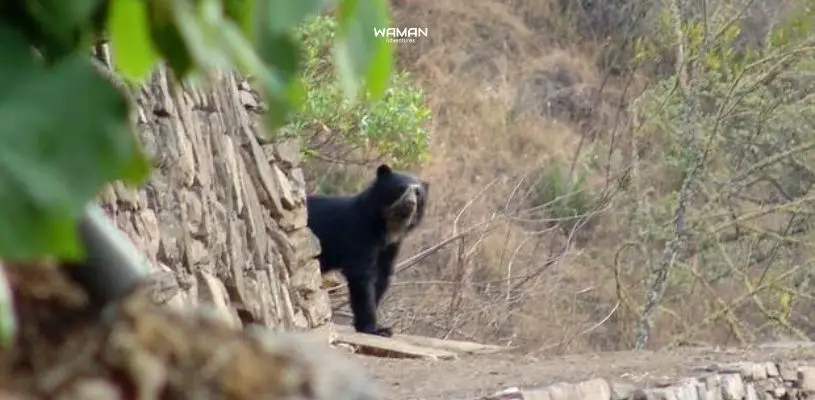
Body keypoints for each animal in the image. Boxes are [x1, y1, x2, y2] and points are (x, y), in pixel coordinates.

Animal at [306, 164, 429, 337]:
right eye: (400, 189)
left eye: (418, 194)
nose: (410, 203)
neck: (387, 227)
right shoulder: (360, 234)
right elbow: (362, 275)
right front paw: (375, 329)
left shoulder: (391, 246)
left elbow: (382, 275)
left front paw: (377, 327)